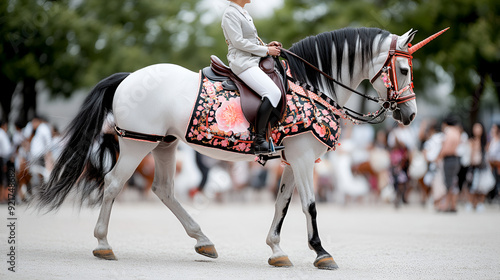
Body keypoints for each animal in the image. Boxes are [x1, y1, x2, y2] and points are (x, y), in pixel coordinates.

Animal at [33, 27, 448, 270]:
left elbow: (282, 206)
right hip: (136, 144)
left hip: (164, 145)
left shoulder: (291, 161)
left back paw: (203, 241)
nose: (410, 114)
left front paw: (276, 250)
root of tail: (128, 77)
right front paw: (321, 252)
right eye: (405, 71)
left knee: (164, 190)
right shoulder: (302, 159)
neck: (312, 87)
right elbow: (310, 206)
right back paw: (103, 244)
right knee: (114, 185)